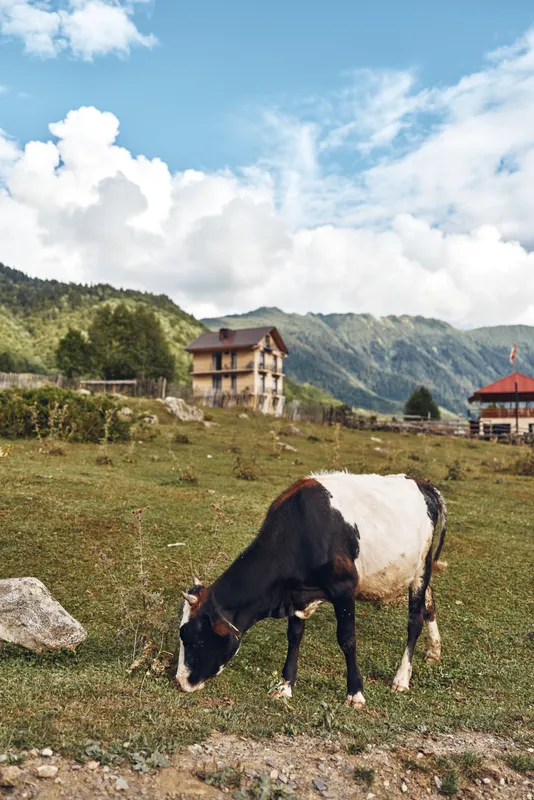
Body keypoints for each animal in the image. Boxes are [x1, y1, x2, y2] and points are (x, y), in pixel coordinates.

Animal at [176, 471, 447, 707]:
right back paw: (434, 651)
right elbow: (294, 636)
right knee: (430, 603)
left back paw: (401, 678)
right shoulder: (296, 594)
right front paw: (286, 684)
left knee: (415, 619)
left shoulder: (344, 588)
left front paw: (355, 693)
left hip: (422, 567)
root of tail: (421, 482)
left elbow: (347, 639)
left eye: (192, 638)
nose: (180, 681)